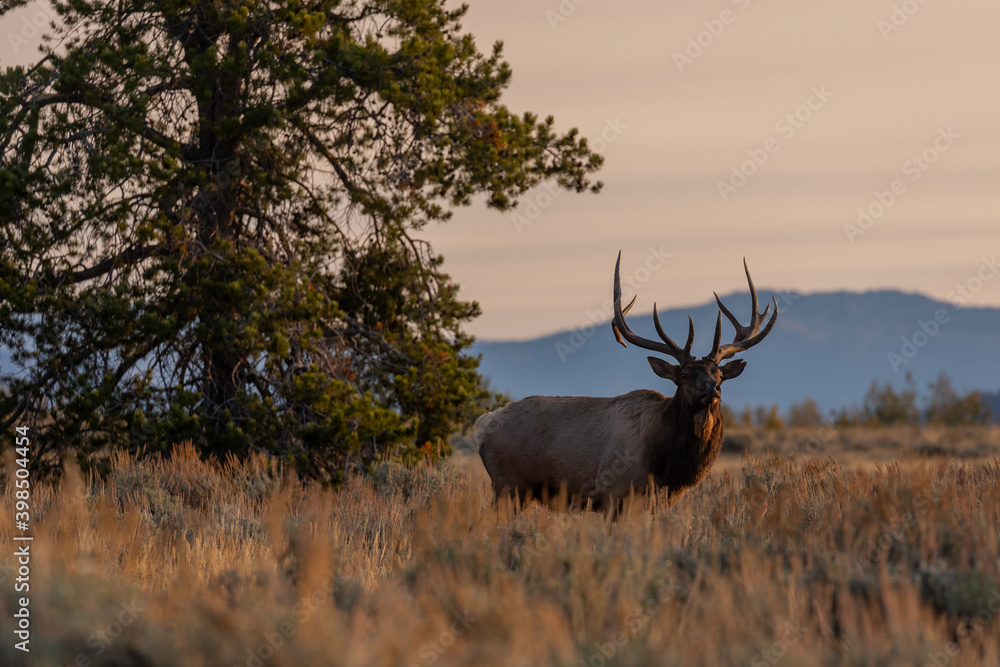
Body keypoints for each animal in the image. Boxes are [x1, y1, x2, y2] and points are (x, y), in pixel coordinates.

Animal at [475, 251, 778, 510]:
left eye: (719, 374)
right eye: (683, 375)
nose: (711, 389)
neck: (667, 465)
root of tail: (482, 424)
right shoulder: (615, 491)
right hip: (508, 486)